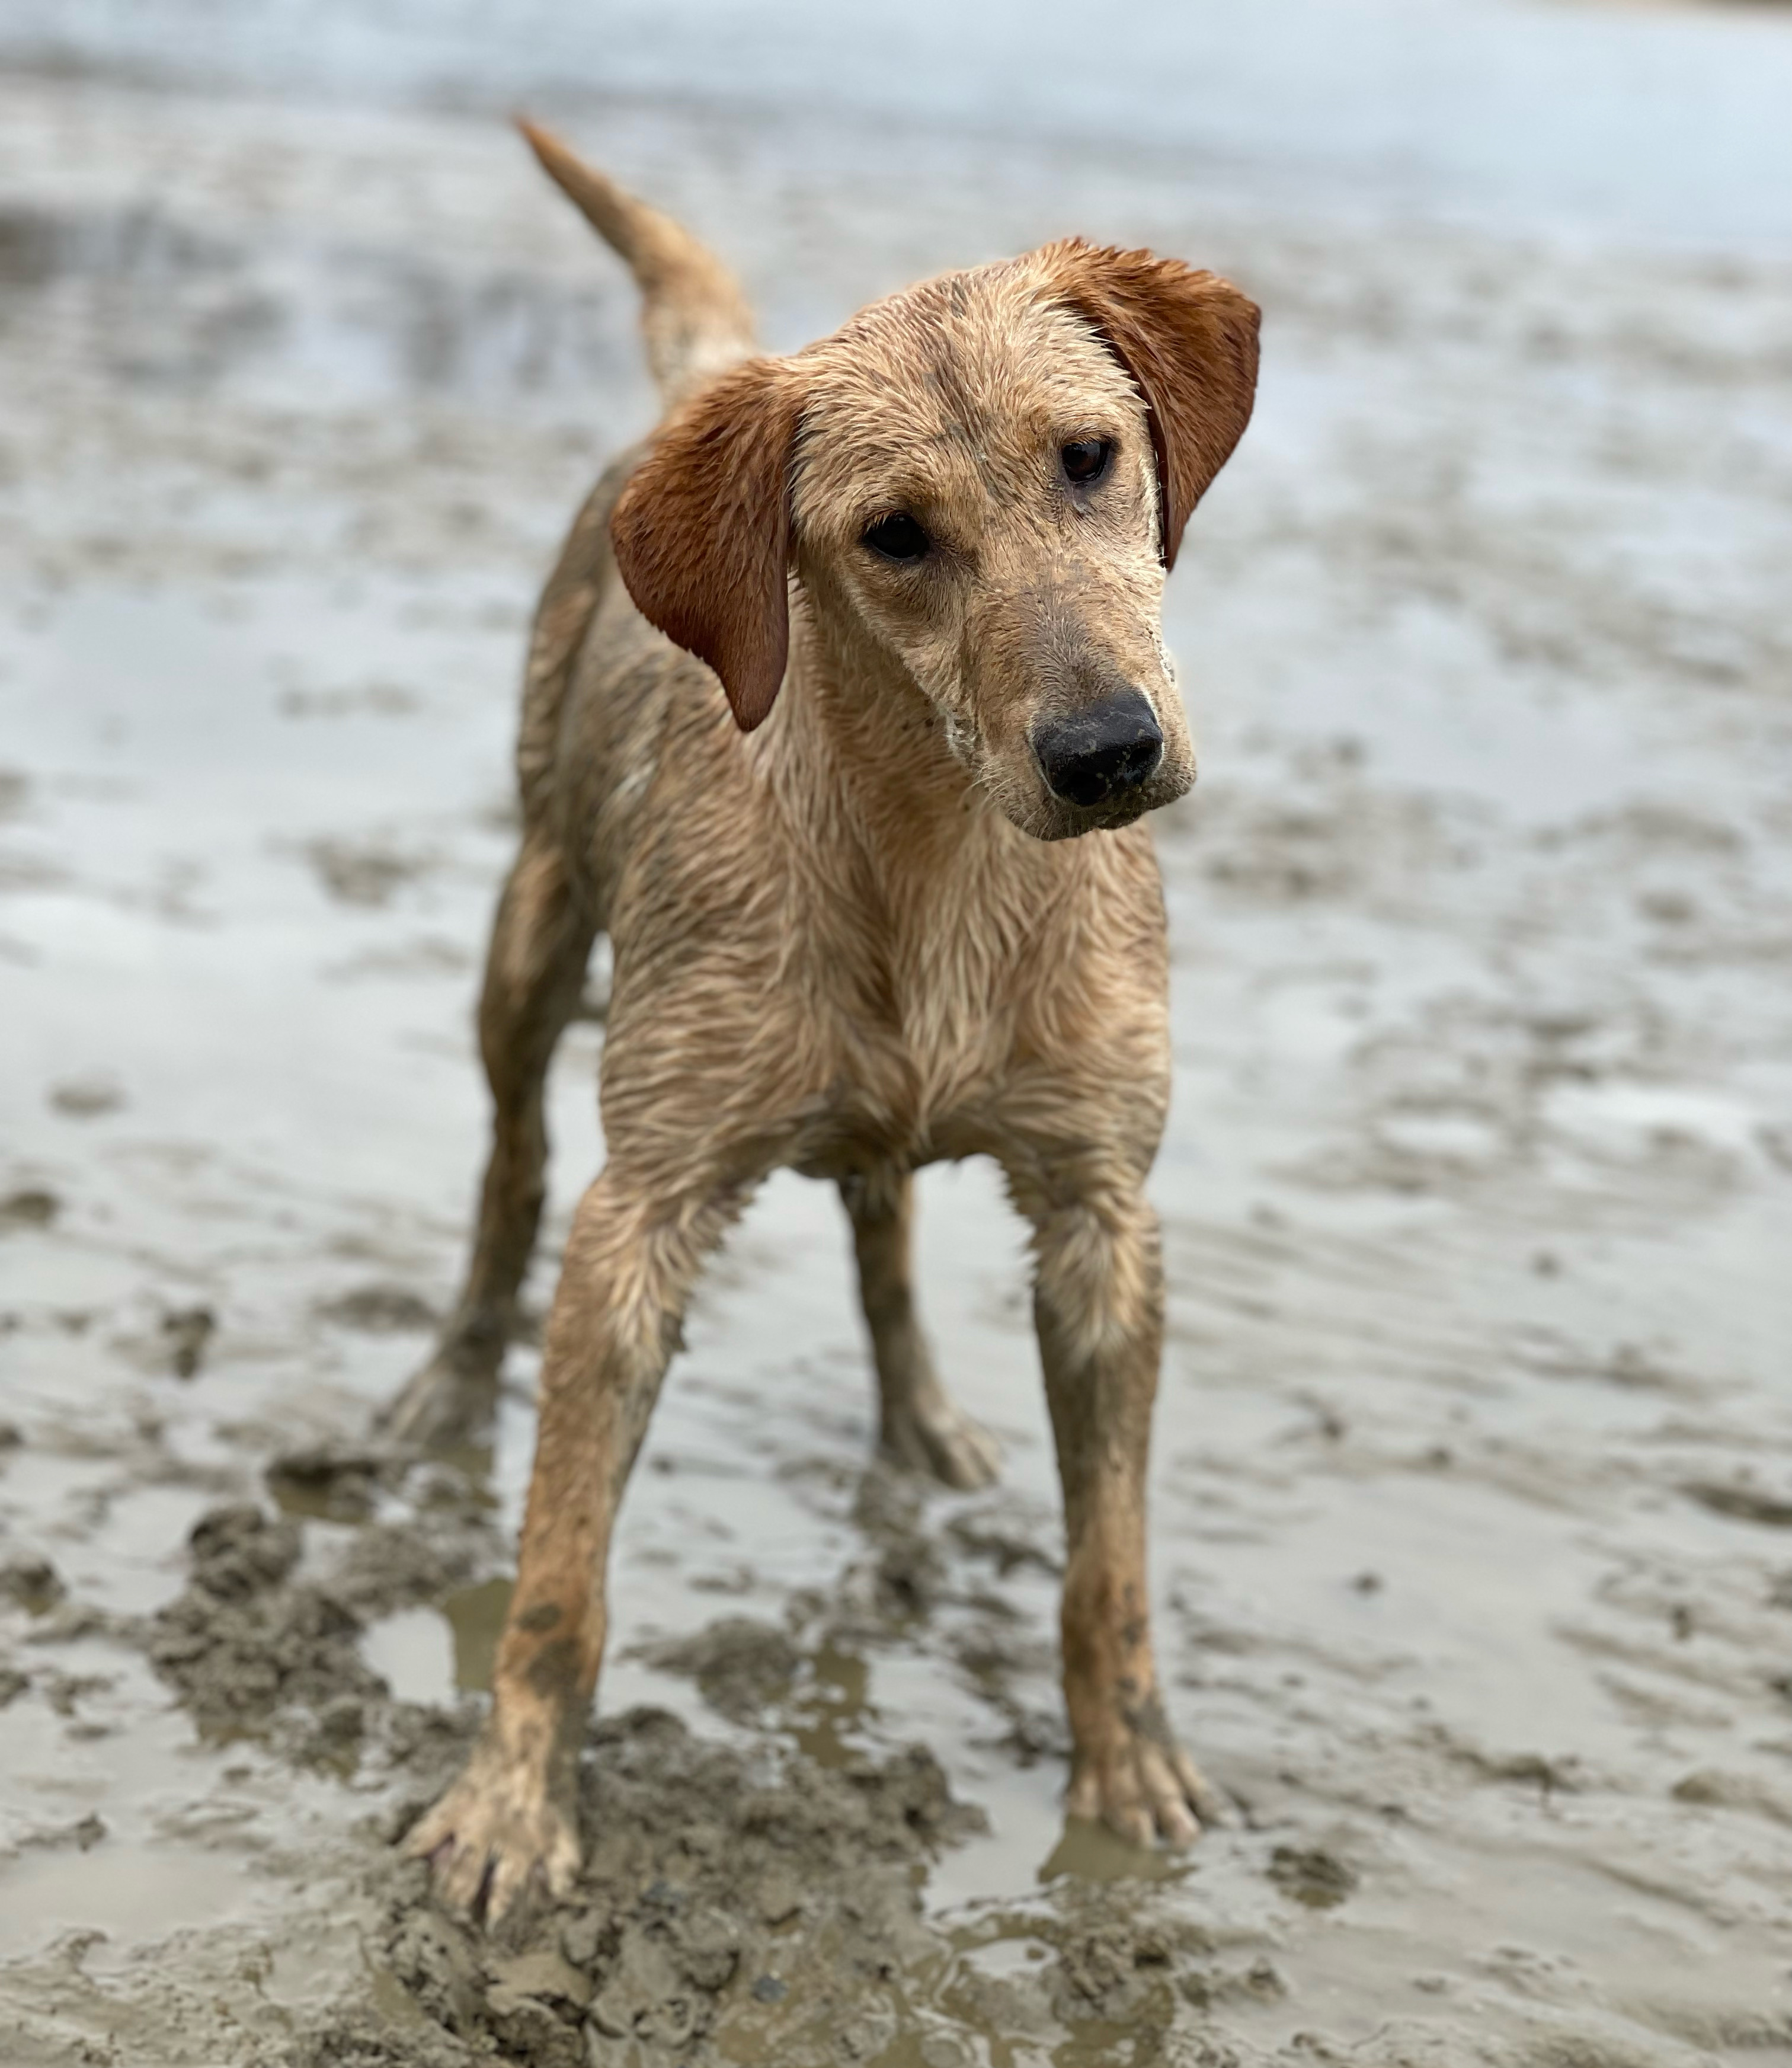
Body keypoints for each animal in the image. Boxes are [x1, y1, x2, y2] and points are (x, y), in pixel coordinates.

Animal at [392, 117, 1265, 1919]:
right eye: (894, 535)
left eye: (1092, 456)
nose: (1105, 751)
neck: (934, 859)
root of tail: (713, 378)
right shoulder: (640, 1216)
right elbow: (557, 1576)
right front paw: (512, 1804)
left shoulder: (1105, 1215)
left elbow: (1111, 1562)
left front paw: (1130, 1769)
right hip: (530, 928)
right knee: (509, 1168)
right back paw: (449, 1379)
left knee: (885, 1227)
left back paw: (922, 1418)